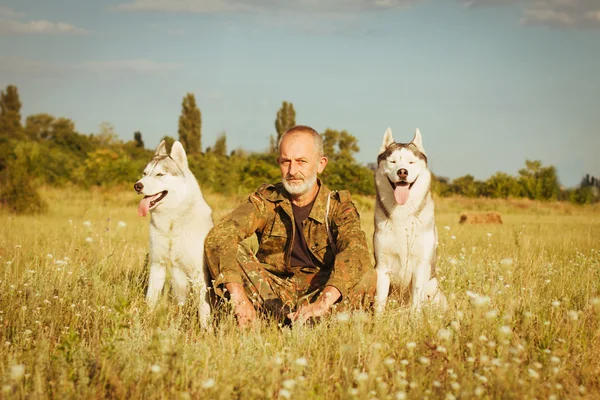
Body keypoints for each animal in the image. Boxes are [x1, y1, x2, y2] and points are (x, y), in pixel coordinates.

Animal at [135, 141, 214, 328]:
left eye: (160, 174)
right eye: (144, 173)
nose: (137, 185)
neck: (171, 224)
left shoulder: (199, 274)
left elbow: (203, 310)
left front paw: (206, 331)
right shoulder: (157, 265)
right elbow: (150, 301)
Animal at [376, 127, 446, 312]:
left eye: (411, 162)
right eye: (392, 161)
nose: (402, 172)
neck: (402, 212)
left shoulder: (421, 266)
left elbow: (416, 303)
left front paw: (414, 318)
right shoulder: (381, 267)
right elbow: (379, 303)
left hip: (433, 287)